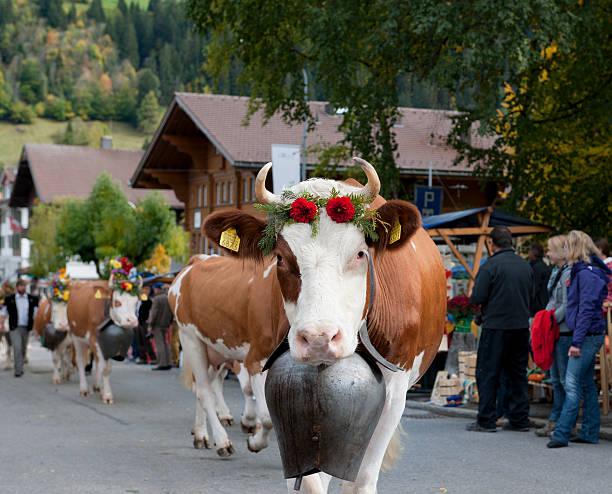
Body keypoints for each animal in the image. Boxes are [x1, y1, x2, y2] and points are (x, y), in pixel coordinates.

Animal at [203, 159, 448, 494]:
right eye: (280, 258)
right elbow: (310, 480)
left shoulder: (396, 391)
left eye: (360, 253)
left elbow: (361, 479)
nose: (318, 338)